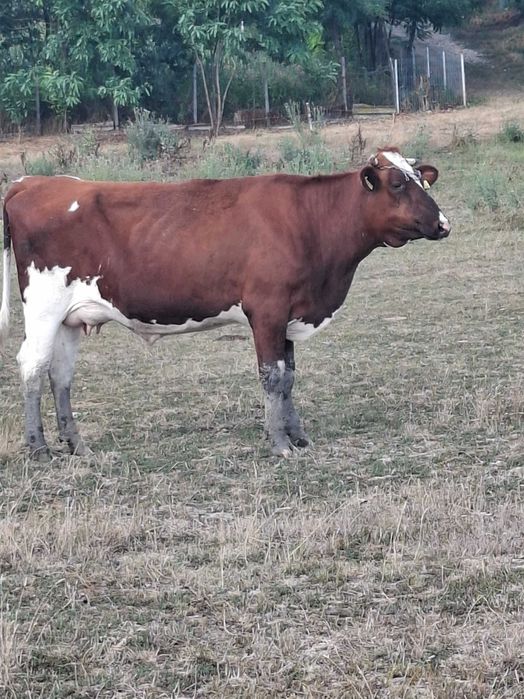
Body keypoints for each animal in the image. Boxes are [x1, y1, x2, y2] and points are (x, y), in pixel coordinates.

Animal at [0, 148, 450, 461]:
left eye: (422, 181)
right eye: (397, 185)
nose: (443, 223)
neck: (310, 220)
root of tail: (32, 182)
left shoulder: (288, 316)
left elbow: (289, 377)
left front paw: (298, 436)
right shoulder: (267, 311)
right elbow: (272, 377)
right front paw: (279, 444)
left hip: (69, 319)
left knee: (61, 375)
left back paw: (77, 445)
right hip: (43, 307)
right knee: (33, 366)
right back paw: (39, 448)